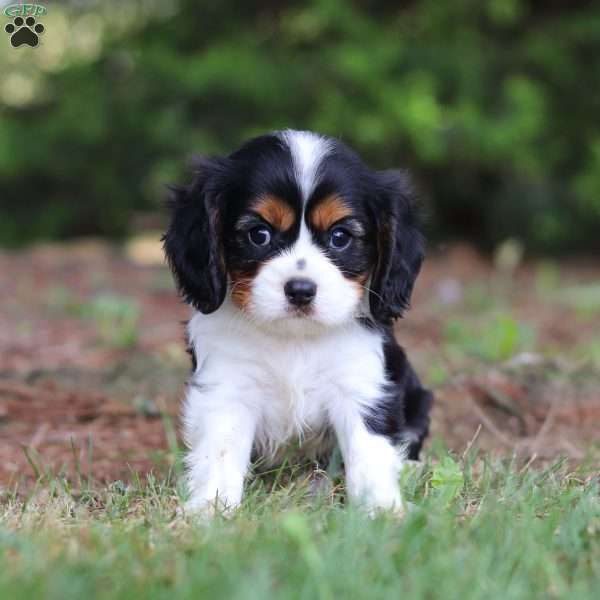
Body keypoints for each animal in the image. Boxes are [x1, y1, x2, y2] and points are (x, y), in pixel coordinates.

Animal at [164, 130, 434, 516]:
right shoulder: (227, 386)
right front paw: (210, 509)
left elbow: (368, 450)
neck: (294, 338)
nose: (301, 290)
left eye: (340, 237)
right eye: (259, 235)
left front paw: (381, 510)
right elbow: (220, 450)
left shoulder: (360, 385)